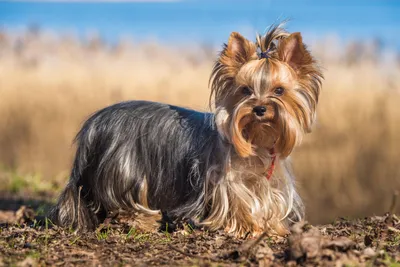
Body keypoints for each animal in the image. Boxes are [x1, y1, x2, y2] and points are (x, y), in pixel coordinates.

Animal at [50, 24, 324, 239]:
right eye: (245, 90)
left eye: (279, 91)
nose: (259, 109)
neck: (256, 141)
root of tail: (93, 125)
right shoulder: (226, 180)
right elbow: (237, 201)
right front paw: (247, 226)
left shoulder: (271, 179)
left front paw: (274, 227)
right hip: (124, 171)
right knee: (124, 204)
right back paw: (145, 221)